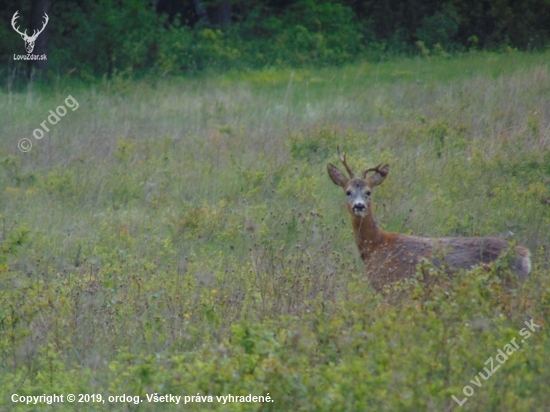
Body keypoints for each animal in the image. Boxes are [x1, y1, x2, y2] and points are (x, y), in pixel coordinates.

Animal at [330, 146, 532, 290]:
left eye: (368, 192)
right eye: (348, 192)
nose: (359, 206)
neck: (376, 247)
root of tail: (525, 256)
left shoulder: (394, 286)